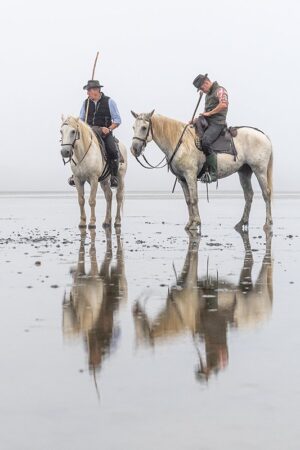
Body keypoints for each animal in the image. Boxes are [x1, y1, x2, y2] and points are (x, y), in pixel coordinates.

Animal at [130, 111, 274, 232]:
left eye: (144, 128)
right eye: (133, 127)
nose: (134, 149)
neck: (179, 142)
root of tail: (264, 136)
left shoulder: (190, 175)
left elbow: (194, 199)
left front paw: (196, 223)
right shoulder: (182, 179)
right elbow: (188, 200)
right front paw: (190, 223)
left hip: (259, 170)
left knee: (266, 194)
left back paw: (268, 224)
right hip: (244, 172)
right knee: (248, 195)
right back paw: (242, 222)